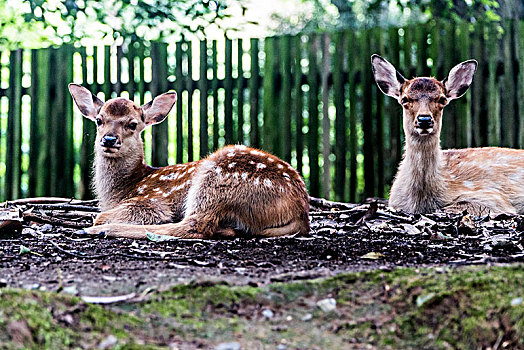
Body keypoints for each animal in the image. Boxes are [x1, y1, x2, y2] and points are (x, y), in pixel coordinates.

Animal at [67, 84, 310, 238]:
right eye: (99, 120)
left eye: (132, 124)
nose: (109, 139)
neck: (123, 189)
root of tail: (300, 210)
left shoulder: (152, 201)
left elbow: (100, 216)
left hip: (216, 180)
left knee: (195, 226)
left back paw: (97, 231)